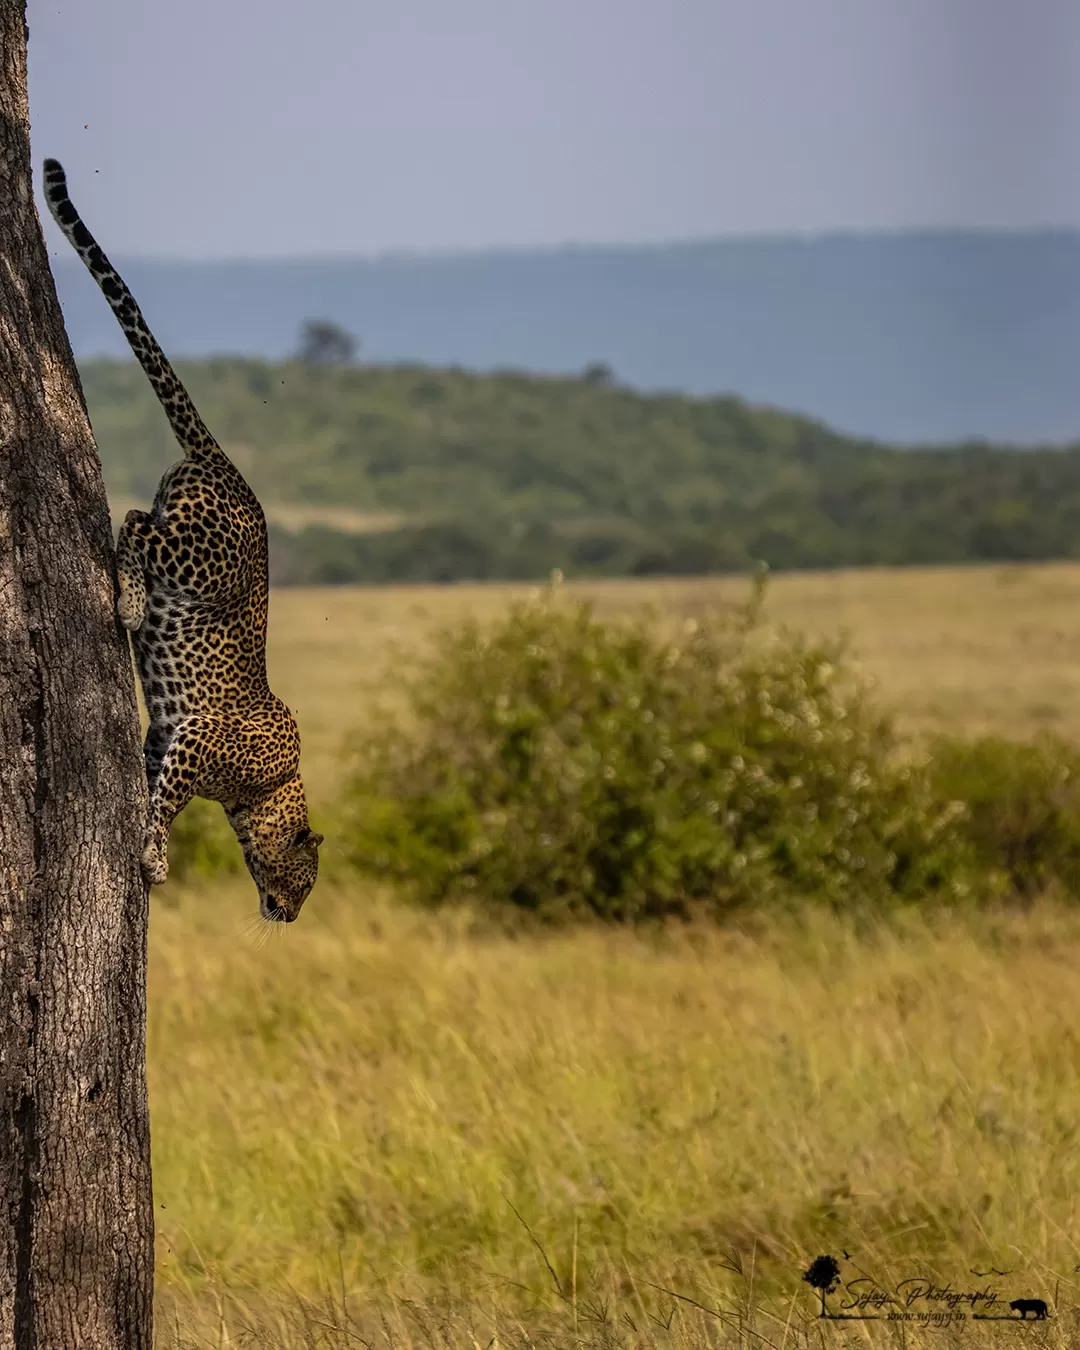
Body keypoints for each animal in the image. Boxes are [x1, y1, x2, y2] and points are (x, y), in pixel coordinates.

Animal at [44, 155, 322, 918]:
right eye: (306, 883)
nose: (289, 915)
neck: (271, 788)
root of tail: (225, 463)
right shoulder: (196, 738)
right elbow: (167, 803)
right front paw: (153, 857)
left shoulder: (165, 734)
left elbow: (150, 781)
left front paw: (149, 842)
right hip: (200, 557)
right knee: (136, 523)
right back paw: (132, 603)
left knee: (138, 518)